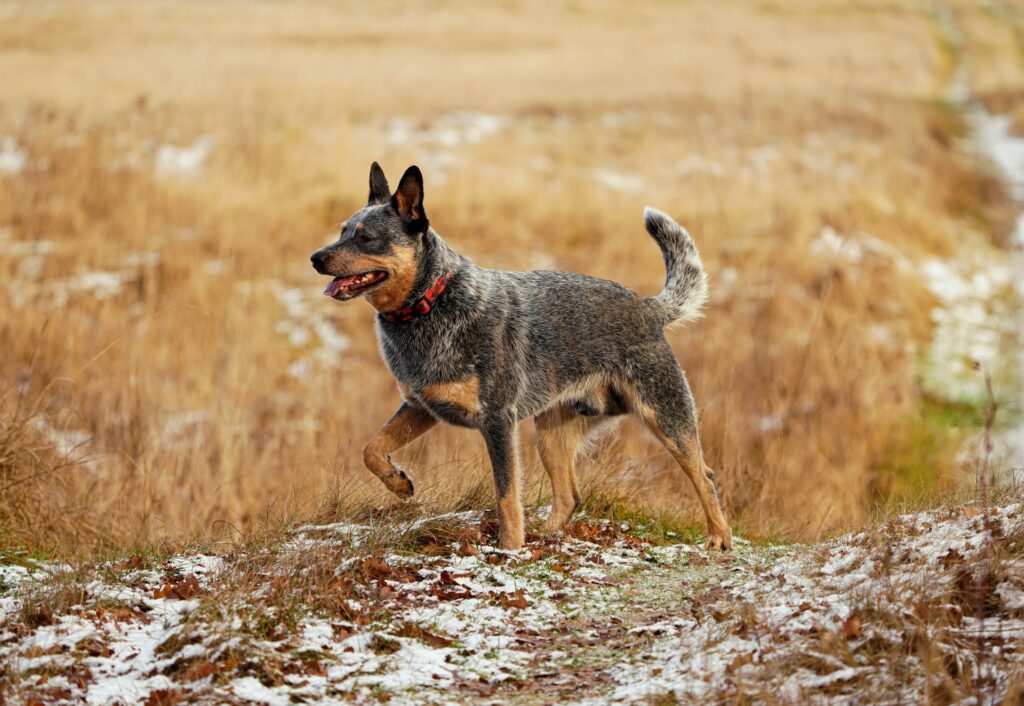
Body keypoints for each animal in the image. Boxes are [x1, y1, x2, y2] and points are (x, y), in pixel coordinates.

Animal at [307, 162, 733, 549]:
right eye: (343, 231)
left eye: (366, 237)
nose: (316, 257)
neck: (431, 303)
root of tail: (647, 307)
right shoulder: (422, 406)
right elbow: (371, 449)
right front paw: (399, 483)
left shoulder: (498, 419)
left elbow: (507, 495)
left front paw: (509, 549)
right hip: (551, 432)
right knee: (569, 494)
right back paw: (546, 537)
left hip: (665, 416)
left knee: (705, 475)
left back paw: (719, 538)